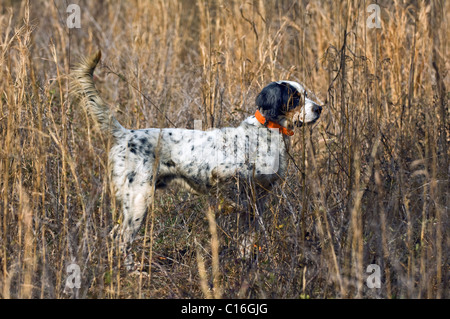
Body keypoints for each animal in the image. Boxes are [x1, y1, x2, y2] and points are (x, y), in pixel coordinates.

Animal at [72, 52, 322, 270]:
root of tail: (126, 134)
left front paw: (245, 263)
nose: (320, 108)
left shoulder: (259, 199)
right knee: (122, 238)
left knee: (114, 234)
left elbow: (247, 238)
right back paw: (132, 270)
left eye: (306, 94)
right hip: (138, 200)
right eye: (295, 98)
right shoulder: (230, 182)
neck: (266, 132)